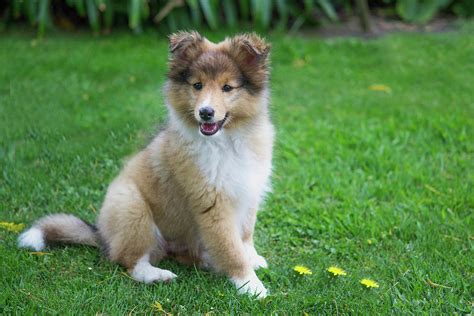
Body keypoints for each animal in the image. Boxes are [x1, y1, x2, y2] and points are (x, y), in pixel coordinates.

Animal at [17, 32, 274, 298]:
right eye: (197, 85)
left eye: (227, 87)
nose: (205, 112)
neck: (226, 141)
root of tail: (102, 234)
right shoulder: (213, 207)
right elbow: (231, 249)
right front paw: (251, 285)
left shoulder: (249, 191)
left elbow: (245, 235)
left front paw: (252, 259)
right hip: (132, 209)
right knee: (130, 261)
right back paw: (158, 275)